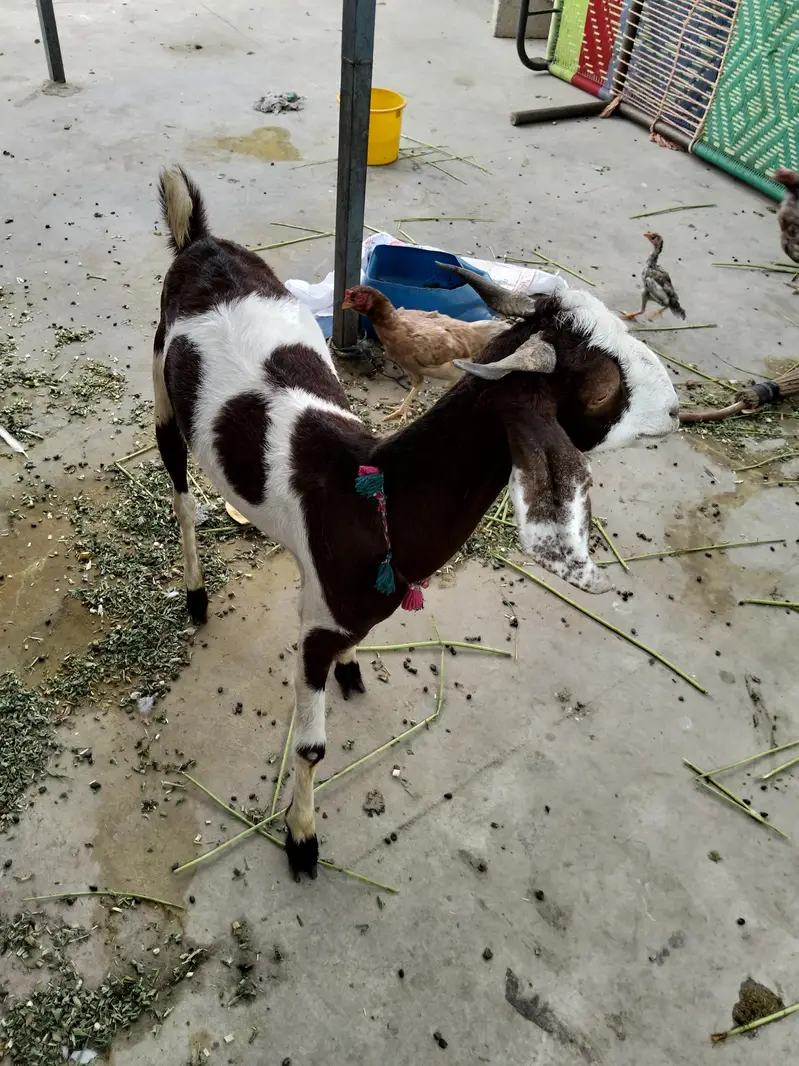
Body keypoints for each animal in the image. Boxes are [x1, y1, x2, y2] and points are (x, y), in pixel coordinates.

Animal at [153, 167, 679, 881]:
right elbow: (312, 748)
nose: (675, 409)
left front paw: (352, 669)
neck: (374, 495)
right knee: (180, 497)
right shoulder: (313, 635)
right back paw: (195, 595)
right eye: (603, 386)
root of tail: (200, 241)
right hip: (160, 386)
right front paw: (302, 839)